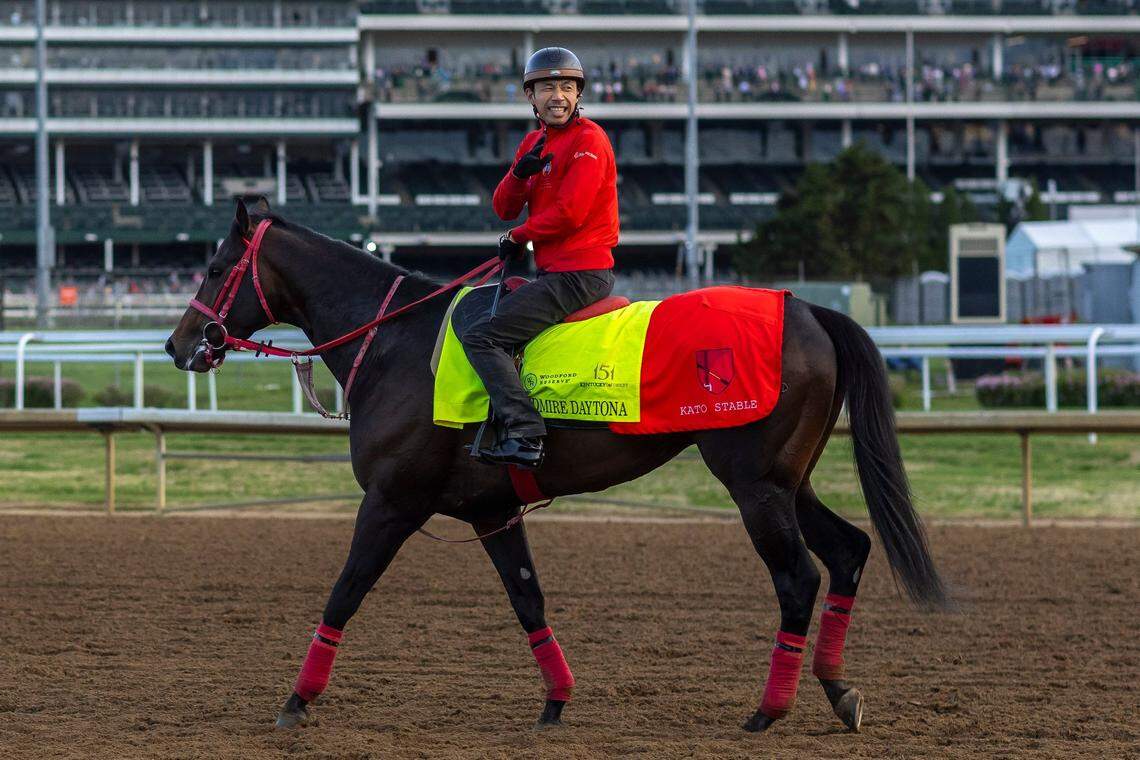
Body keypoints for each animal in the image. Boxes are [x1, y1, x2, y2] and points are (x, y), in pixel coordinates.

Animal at [165, 197, 947, 735]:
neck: (395, 341)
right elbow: (527, 599)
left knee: (799, 579)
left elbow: (344, 593)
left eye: (214, 267)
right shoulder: (492, 511)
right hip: (792, 481)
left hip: (755, 485)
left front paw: (297, 699)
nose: (179, 344)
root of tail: (806, 307)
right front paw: (556, 700)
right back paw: (839, 691)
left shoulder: (391, 501)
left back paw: (768, 709)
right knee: (848, 551)